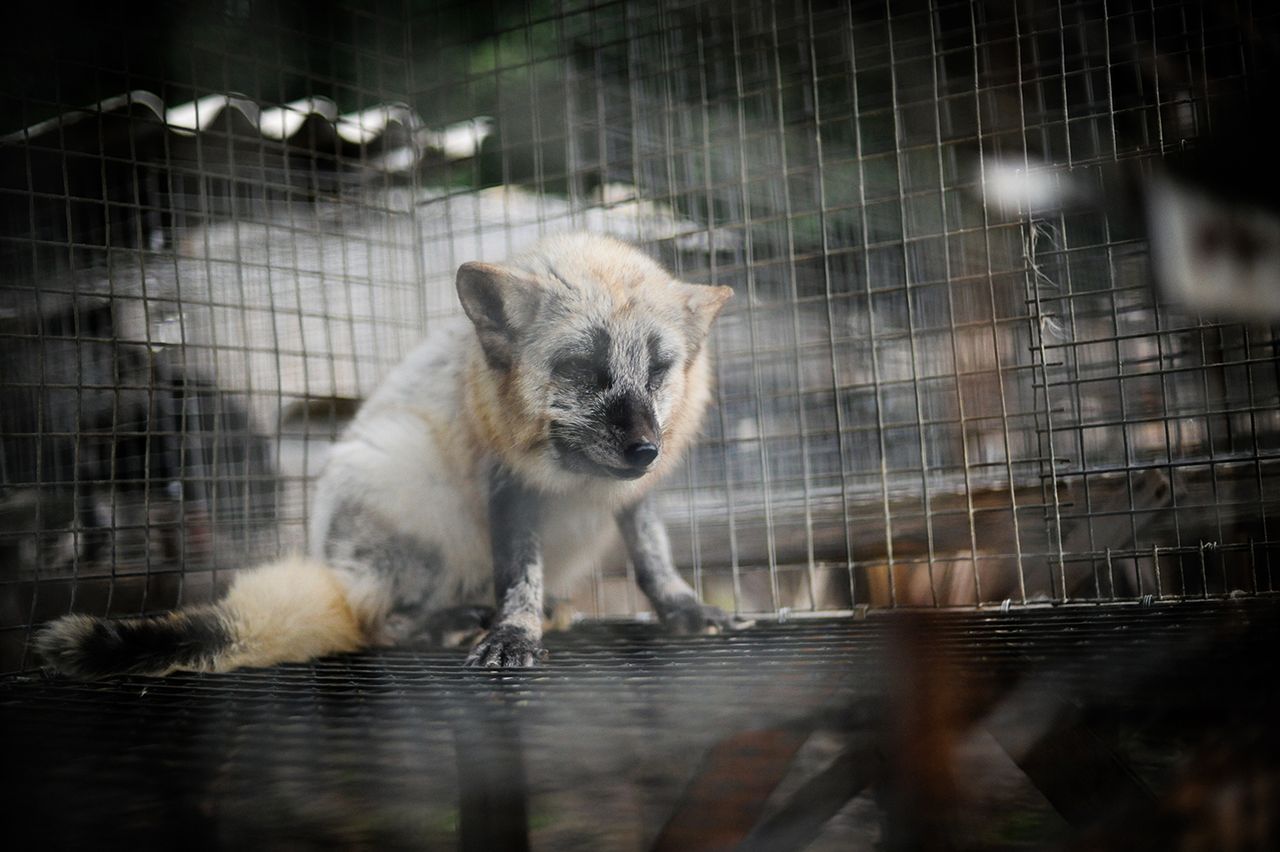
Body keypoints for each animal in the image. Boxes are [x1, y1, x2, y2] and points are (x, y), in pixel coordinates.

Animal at [35, 228, 737, 675]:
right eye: (583, 370)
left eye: (659, 370)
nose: (645, 449)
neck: (577, 482)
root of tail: (336, 575)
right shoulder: (507, 486)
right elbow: (518, 574)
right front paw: (513, 633)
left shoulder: (637, 496)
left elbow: (653, 557)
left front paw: (683, 608)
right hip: (400, 485)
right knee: (378, 626)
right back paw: (451, 621)